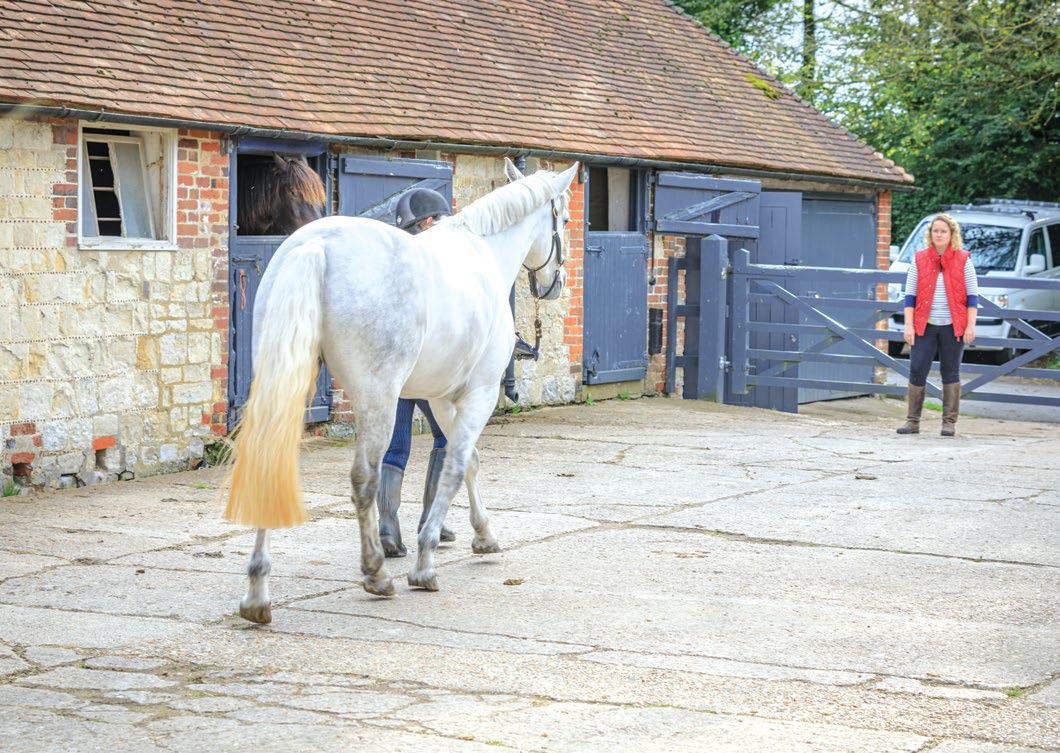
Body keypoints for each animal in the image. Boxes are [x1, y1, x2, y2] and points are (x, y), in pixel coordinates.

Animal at [223, 157, 578, 623]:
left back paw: (256, 593)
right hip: (378, 399)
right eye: (566, 219)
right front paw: (426, 562)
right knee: (365, 479)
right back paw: (376, 573)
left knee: (268, 461)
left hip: (284, 382)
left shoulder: (441, 398)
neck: (483, 255)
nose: (556, 284)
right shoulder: (478, 393)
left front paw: (484, 535)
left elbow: (468, 463)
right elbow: (455, 466)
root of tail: (315, 245)